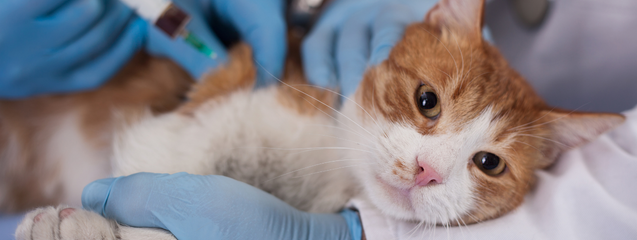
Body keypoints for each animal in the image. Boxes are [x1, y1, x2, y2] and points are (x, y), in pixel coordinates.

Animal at [3, 0, 620, 238]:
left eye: (488, 163)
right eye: (427, 101)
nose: (426, 170)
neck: (329, 159)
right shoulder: (210, 105)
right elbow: (158, 166)